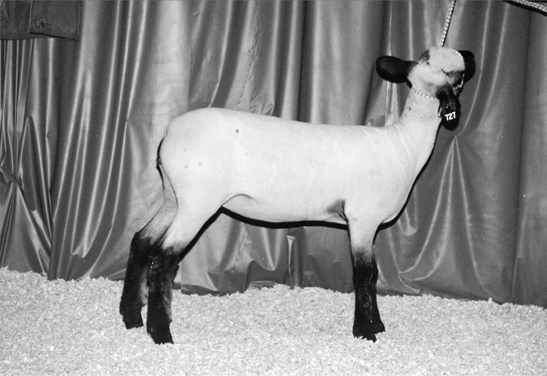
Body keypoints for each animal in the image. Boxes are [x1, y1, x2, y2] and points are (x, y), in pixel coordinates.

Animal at [119, 46, 476, 344]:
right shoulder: (362, 218)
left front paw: (375, 324)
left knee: (141, 241)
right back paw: (160, 332)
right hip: (198, 201)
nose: (472, 54)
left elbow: (373, 273)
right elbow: (364, 273)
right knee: (163, 258)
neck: (403, 145)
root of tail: (168, 132)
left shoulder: (369, 224)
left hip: (173, 197)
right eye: (447, 66)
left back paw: (131, 317)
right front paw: (365, 331)